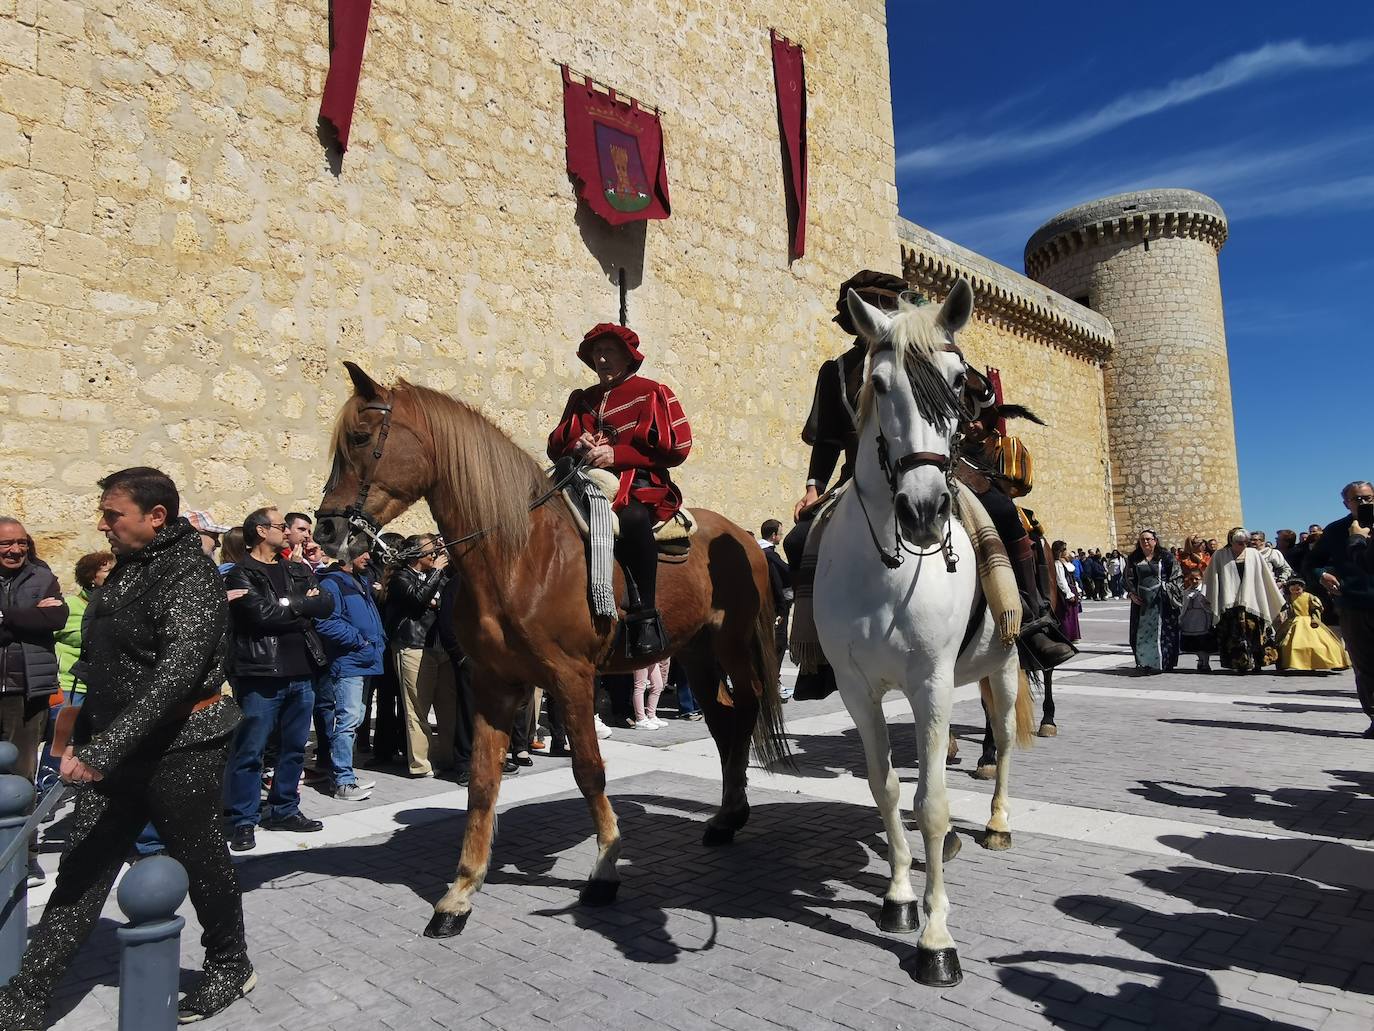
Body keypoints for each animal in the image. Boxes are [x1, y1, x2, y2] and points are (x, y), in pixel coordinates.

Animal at [311, 368, 785, 940]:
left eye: (360, 438)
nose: (327, 529)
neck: (518, 554)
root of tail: (742, 537)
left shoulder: (572, 678)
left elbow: (588, 770)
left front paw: (605, 869)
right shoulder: (493, 684)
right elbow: (482, 782)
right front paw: (460, 893)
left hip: (730, 646)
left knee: (746, 710)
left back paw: (732, 812)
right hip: (694, 654)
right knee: (723, 720)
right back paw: (727, 814)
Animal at [813, 279, 1033, 989]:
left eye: (960, 381)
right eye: (877, 383)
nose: (925, 510)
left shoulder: (930, 683)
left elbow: (932, 801)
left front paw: (936, 939)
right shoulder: (857, 689)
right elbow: (886, 789)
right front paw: (900, 896)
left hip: (1004, 665)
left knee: (1004, 745)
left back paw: (995, 823)